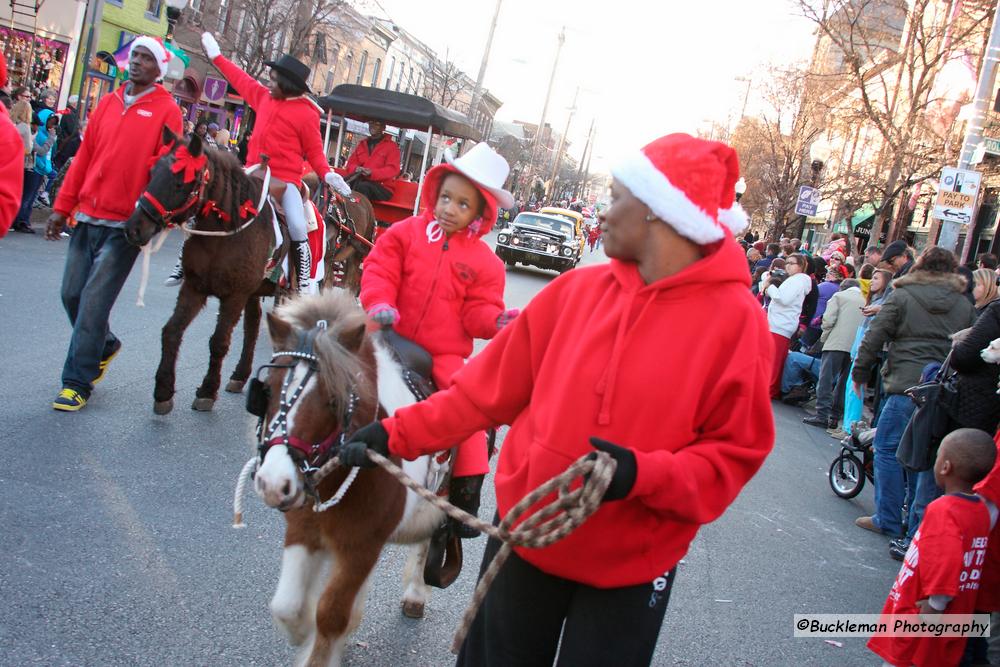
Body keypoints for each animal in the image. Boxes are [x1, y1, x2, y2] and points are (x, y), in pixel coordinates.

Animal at [123, 128, 374, 414]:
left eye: (180, 183)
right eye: (152, 171)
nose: (133, 229)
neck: (226, 229)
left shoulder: (235, 295)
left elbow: (219, 342)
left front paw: (207, 391)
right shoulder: (195, 287)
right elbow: (172, 331)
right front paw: (164, 391)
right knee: (253, 326)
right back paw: (241, 375)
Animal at [256, 292, 448, 667]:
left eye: (335, 400)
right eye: (268, 391)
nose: (273, 484)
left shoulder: (361, 544)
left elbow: (331, 614)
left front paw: (318, 649)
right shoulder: (304, 529)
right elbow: (287, 605)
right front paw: (301, 632)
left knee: (425, 542)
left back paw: (416, 593)